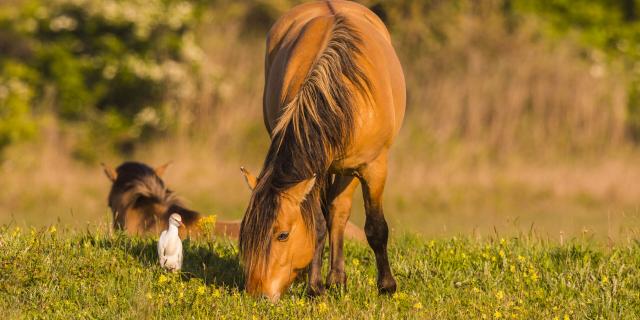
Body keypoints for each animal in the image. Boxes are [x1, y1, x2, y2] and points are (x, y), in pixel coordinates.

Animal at [240, 0, 404, 300]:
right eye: (247, 234)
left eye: (282, 235)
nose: (257, 293)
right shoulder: (318, 170)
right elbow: (316, 225)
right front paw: (315, 287)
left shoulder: (373, 167)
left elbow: (376, 227)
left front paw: (387, 286)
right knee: (334, 214)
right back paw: (335, 279)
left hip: (349, 169)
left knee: (339, 212)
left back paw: (338, 279)